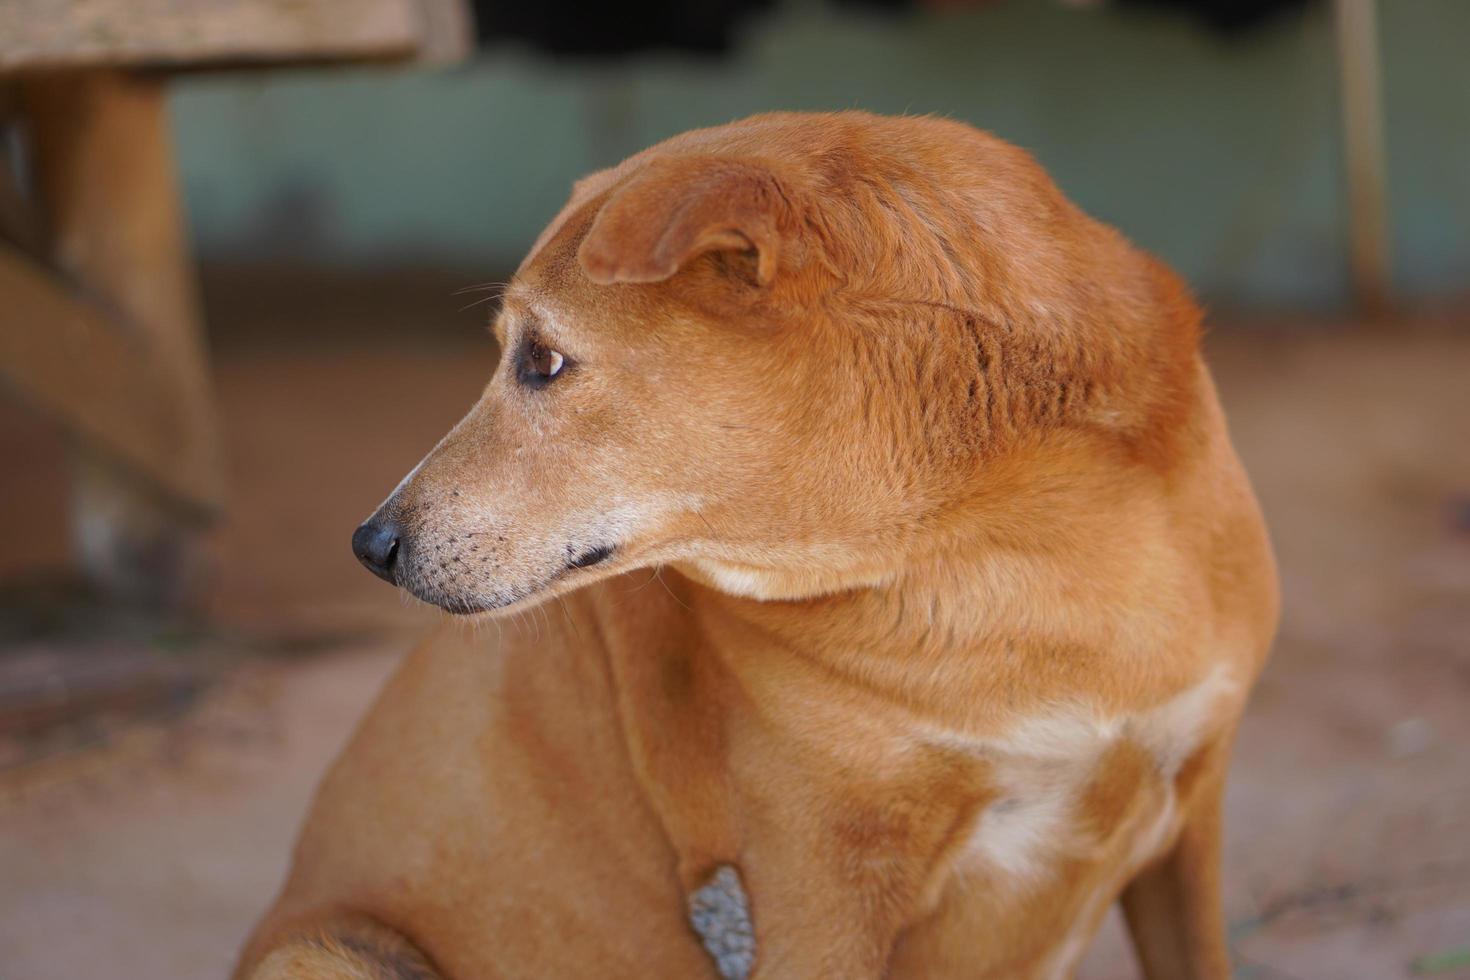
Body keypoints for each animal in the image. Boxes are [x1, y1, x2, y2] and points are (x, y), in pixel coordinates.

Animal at [238, 110, 1275, 975]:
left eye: (543, 361)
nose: (370, 545)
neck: (1014, 553)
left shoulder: (1193, 811)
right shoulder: (816, 898)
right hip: (324, 955)